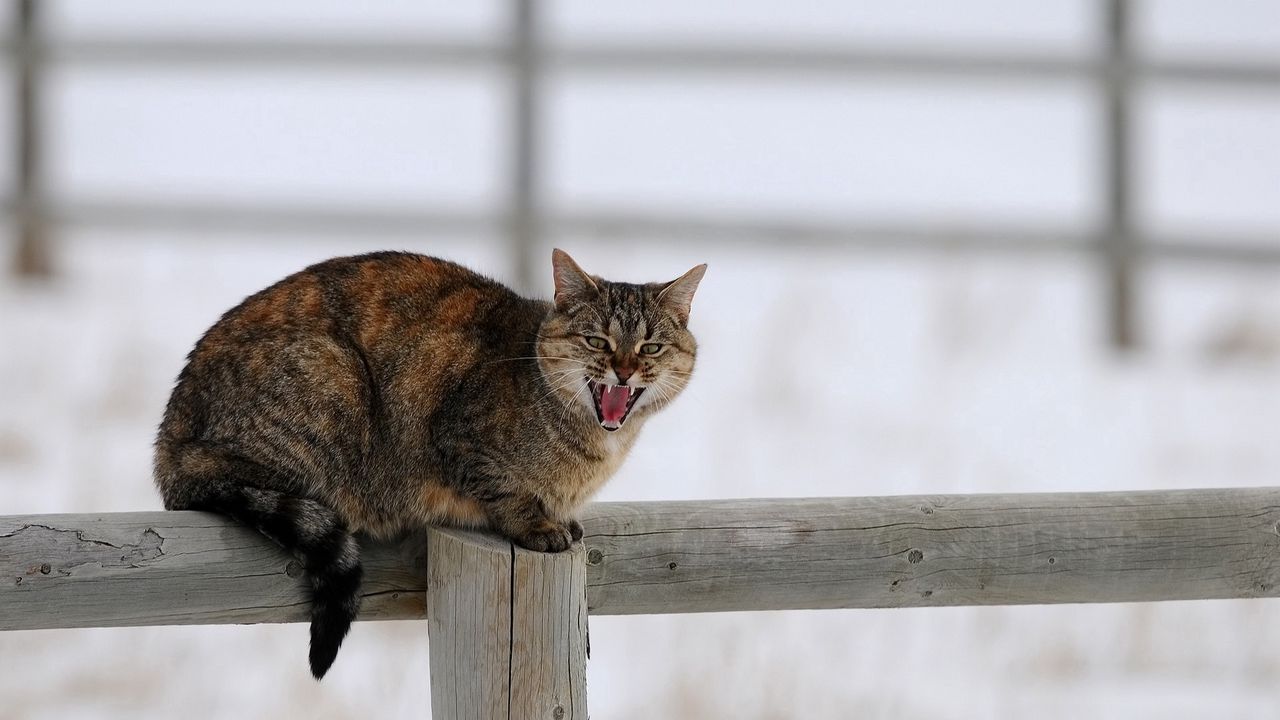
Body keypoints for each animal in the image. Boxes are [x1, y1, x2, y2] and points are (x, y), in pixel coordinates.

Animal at [156, 248, 711, 676]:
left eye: (650, 347)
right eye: (598, 340)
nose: (625, 369)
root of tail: (169, 442)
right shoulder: (459, 438)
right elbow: (504, 491)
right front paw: (536, 523)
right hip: (330, 377)